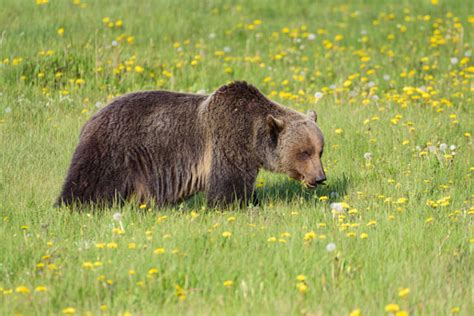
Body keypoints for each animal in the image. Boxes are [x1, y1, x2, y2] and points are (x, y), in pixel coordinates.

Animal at [57, 81, 326, 207]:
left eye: (320, 151)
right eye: (304, 152)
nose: (320, 178)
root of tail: (91, 118)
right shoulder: (226, 143)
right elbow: (228, 186)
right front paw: (235, 205)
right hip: (112, 150)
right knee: (87, 183)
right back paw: (71, 204)